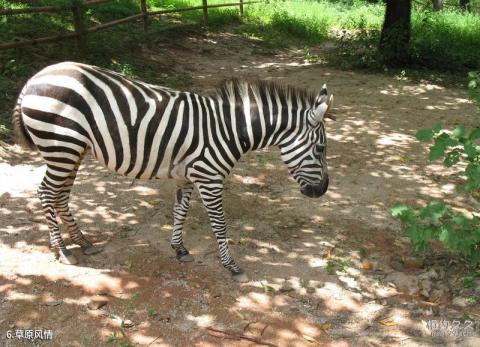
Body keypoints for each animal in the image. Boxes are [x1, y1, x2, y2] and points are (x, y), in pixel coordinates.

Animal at [12, 60, 334, 282]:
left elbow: (180, 211)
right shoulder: (210, 178)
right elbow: (220, 224)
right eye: (320, 149)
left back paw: (82, 242)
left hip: (71, 152)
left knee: (60, 195)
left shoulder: (186, 176)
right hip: (61, 148)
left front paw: (179, 249)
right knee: (46, 192)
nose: (322, 191)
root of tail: (34, 78)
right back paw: (62, 250)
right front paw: (232, 266)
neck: (229, 130)